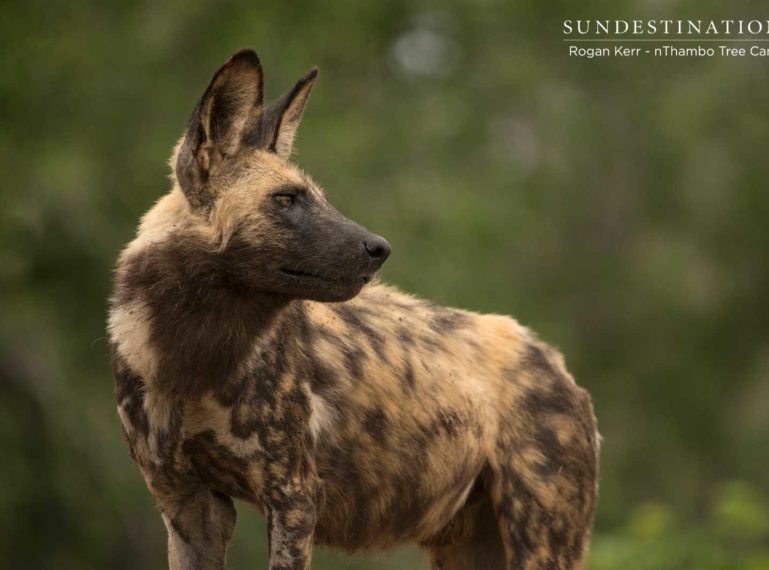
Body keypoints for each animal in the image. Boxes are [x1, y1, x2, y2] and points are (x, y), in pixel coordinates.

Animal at [108, 50, 600, 568]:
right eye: (286, 199)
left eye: (319, 199)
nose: (379, 248)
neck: (191, 356)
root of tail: (553, 360)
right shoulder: (188, 506)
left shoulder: (294, 499)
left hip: (541, 541)